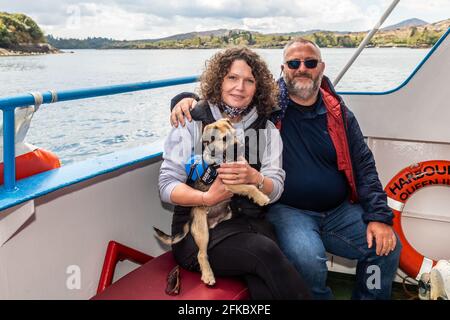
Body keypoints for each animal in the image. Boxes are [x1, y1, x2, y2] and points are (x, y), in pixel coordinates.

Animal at [153, 118, 268, 284]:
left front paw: (259, 187)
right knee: (201, 254)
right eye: (224, 138)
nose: (239, 147)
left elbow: (251, 182)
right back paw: (208, 275)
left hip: (225, 215)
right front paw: (261, 198)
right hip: (202, 230)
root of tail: (190, 221)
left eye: (235, 134)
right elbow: (249, 188)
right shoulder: (229, 184)